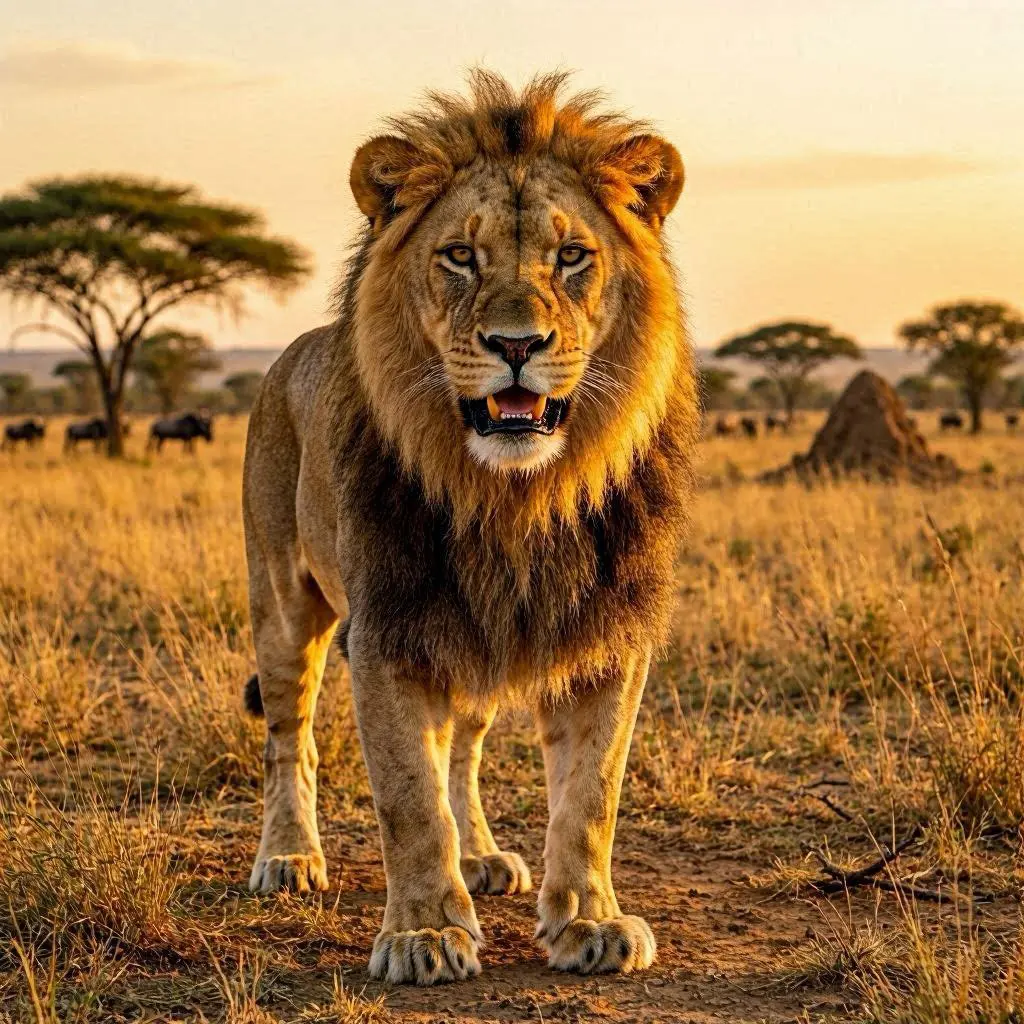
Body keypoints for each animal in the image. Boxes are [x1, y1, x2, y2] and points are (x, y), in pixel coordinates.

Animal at [241, 70, 697, 985]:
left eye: (571, 256)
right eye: (459, 256)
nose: (516, 344)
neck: (516, 496)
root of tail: (286, 354)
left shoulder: (610, 634)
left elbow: (590, 794)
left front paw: (590, 921)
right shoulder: (386, 630)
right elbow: (409, 799)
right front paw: (422, 934)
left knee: (465, 747)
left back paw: (482, 856)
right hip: (284, 606)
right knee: (289, 738)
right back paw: (288, 857)